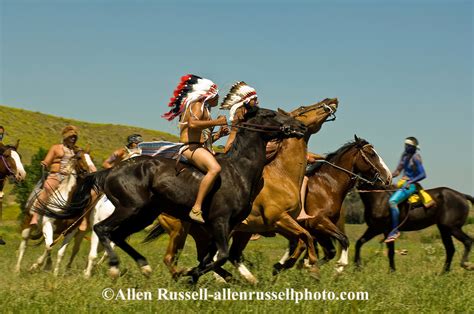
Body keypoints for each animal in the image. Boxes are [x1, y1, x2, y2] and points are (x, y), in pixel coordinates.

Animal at [39, 106, 308, 280]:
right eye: (271, 114)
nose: (300, 127)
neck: (240, 170)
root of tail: (109, 172)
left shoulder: (226, 226)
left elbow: (211, 257)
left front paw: (198, 277)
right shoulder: (220, 222)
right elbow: (220, 256)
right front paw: (191, 275)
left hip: (144, 215)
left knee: (119, 235)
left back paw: (145, 267)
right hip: (131, 208)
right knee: (103, 229)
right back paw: (116, 267)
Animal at [146, 97, 338, 280]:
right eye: (302, 109)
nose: (331, 101)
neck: (282, 174)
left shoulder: (279, 224)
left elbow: (301, 241)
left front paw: (285, 267)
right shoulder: (278, 219)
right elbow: (305, 237)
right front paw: (310, 267)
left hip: (202, 232)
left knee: (205, 258)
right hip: (182, 229)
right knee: (177, 258)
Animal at [278, 136, 392, 274]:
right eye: (372, 154)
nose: (389, 176)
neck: (327, 186)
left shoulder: (318, 229)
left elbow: (330, 252)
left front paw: (309, 267)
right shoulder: (318, 222)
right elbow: (344, 239)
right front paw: (340, 265)